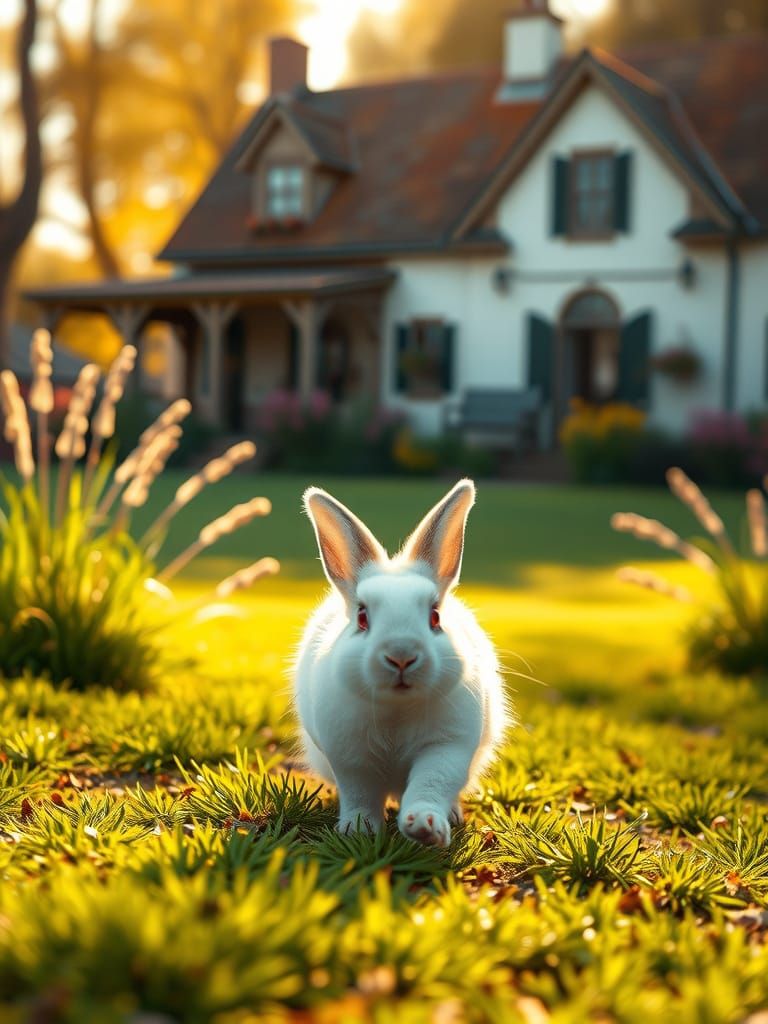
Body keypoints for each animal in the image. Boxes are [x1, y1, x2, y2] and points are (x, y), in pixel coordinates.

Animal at [293, 478, 509, 848]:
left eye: (435, 616)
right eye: (362, 617)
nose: (402, 655)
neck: (397, 708)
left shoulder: (447, 748)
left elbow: (430, 785)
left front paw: (425, 825)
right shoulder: (350, 760)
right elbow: (360, 796)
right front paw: (358, 829)